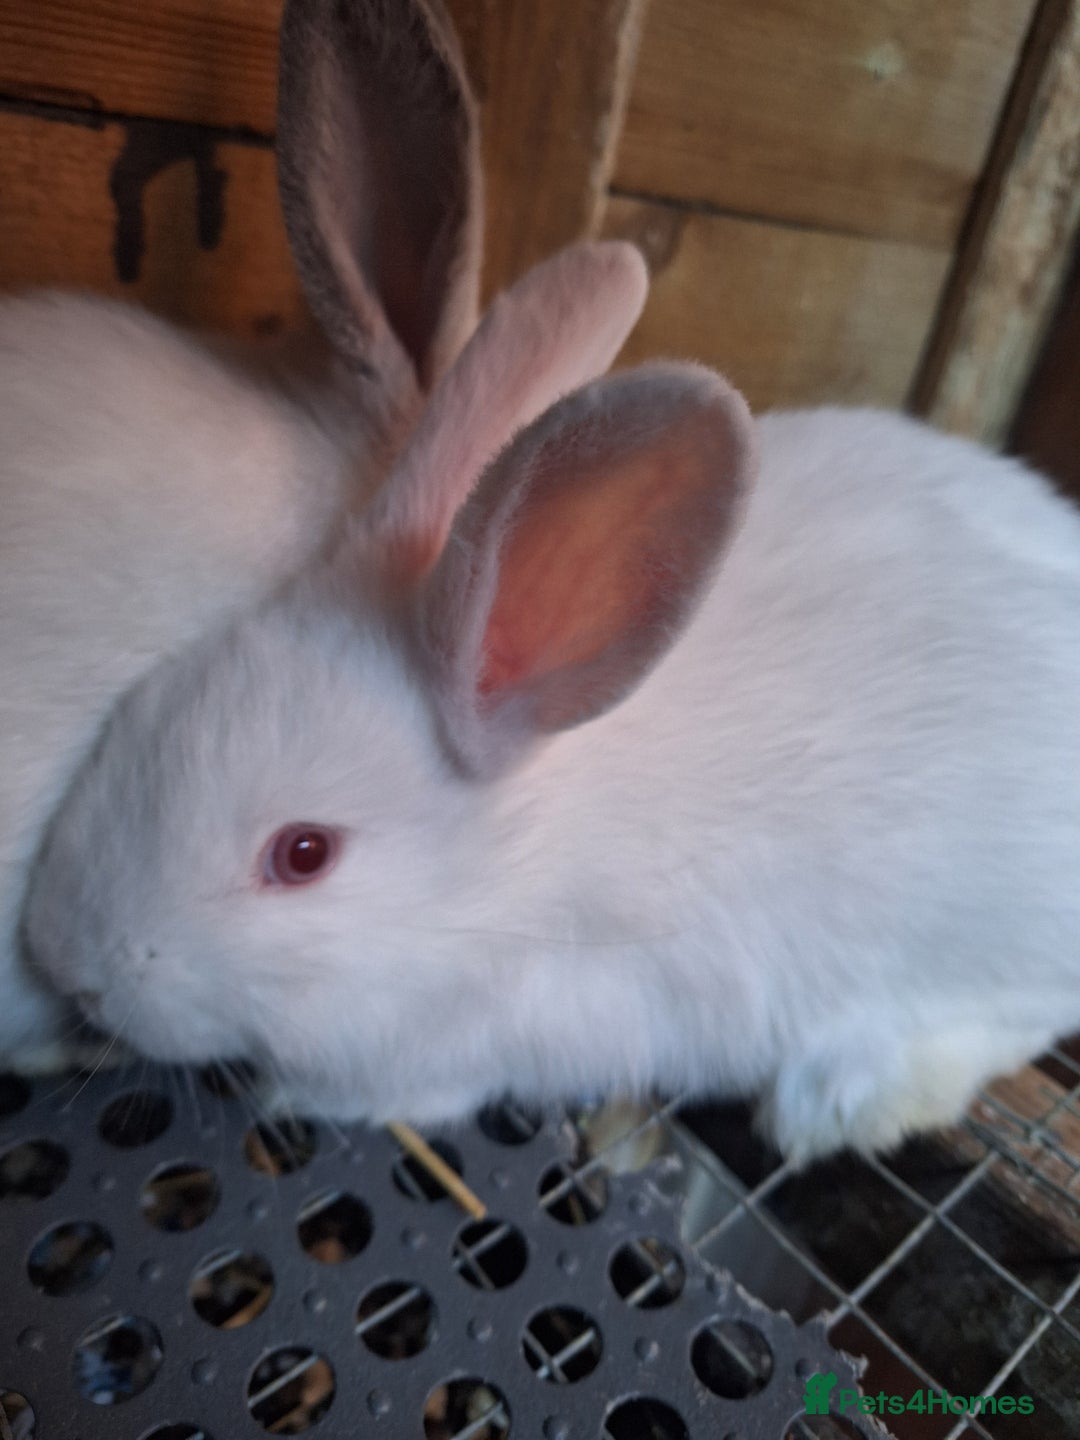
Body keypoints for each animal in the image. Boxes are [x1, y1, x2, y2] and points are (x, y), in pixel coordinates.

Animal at [23, 247, 1080, 1164]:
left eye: (304, 854)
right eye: (143, 714)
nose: (65, 962)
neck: (520, 868)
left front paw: (298, 1097)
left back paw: (844, 1101)